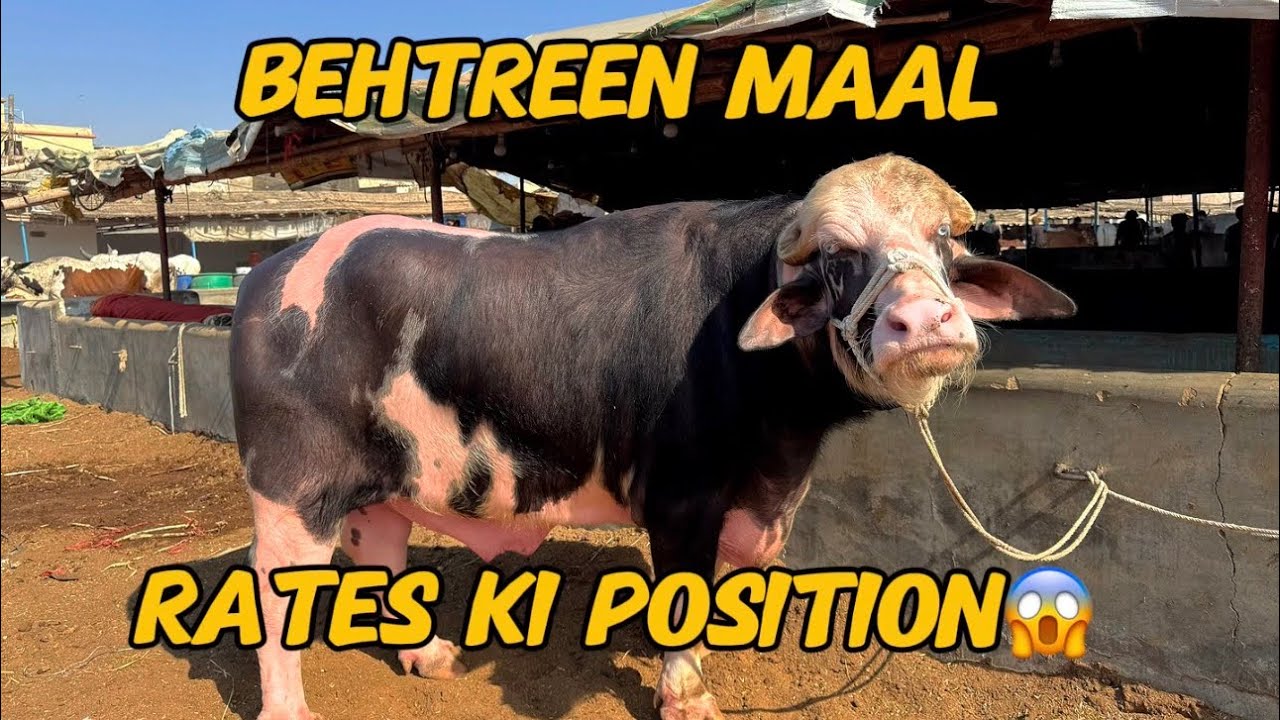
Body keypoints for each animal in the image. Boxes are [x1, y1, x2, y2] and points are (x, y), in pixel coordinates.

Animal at [230, 154, 1075, 720]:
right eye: (840, 257)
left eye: (942, 240)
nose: (925, 319)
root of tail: (267, 275)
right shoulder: (681, 499)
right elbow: (684, 590)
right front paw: (687, 695)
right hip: (292, 488)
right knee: (274, 589)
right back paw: (290, 708)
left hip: (382, 484)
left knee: (380, 549)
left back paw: (428, 654)